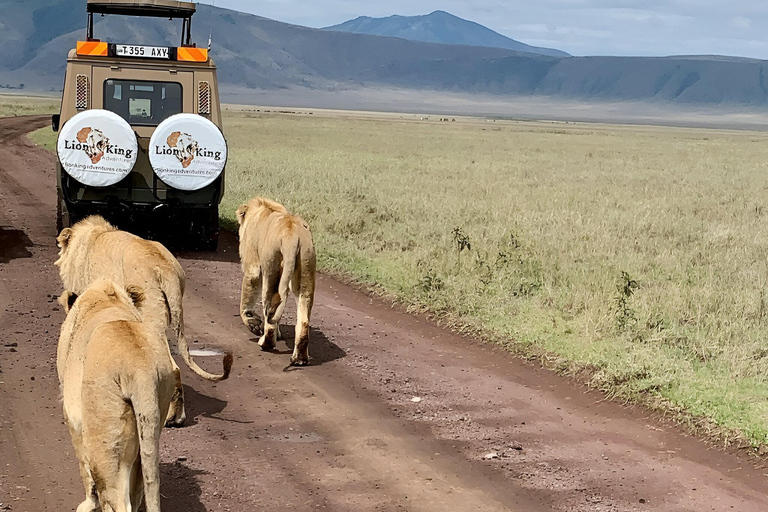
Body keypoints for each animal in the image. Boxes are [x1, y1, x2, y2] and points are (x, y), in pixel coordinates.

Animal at [58, 280, 176, 512]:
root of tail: (141, 368)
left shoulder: (73, 417)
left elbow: (83, 467)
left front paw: (87, 504)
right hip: (153, 415)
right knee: (138, 491)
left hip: (105, 433)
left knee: (117, 499)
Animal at [237, 195, 316, 364]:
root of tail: (292, 237)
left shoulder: (253, 267)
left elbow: (246, 301)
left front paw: (252, 323)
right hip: (306, 268)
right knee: (303, 319)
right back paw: (299, 359)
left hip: (271, 268)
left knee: (269, 311)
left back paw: (266, 343)